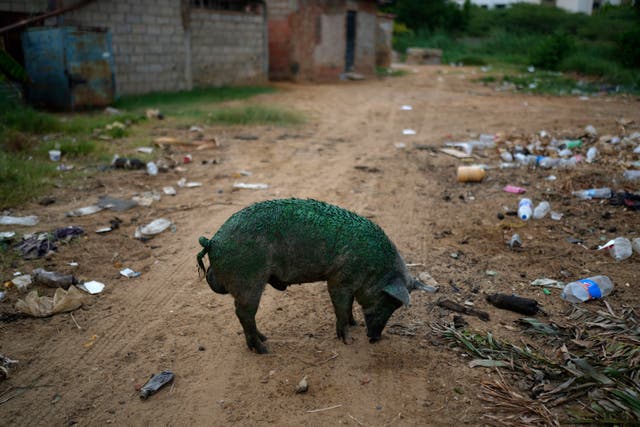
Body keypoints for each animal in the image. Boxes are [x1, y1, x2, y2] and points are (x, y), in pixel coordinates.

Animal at [198, 199, 432, 356]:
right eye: (388, 301)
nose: (375, 338)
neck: (374, 269)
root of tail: (213, 241)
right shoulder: (338, 280)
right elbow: (341, 307)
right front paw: (348, 341)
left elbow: (348, 307)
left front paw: (355, 324)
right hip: (249, 281)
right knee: (243, 313)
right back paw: (264, 349)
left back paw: (263, 339)